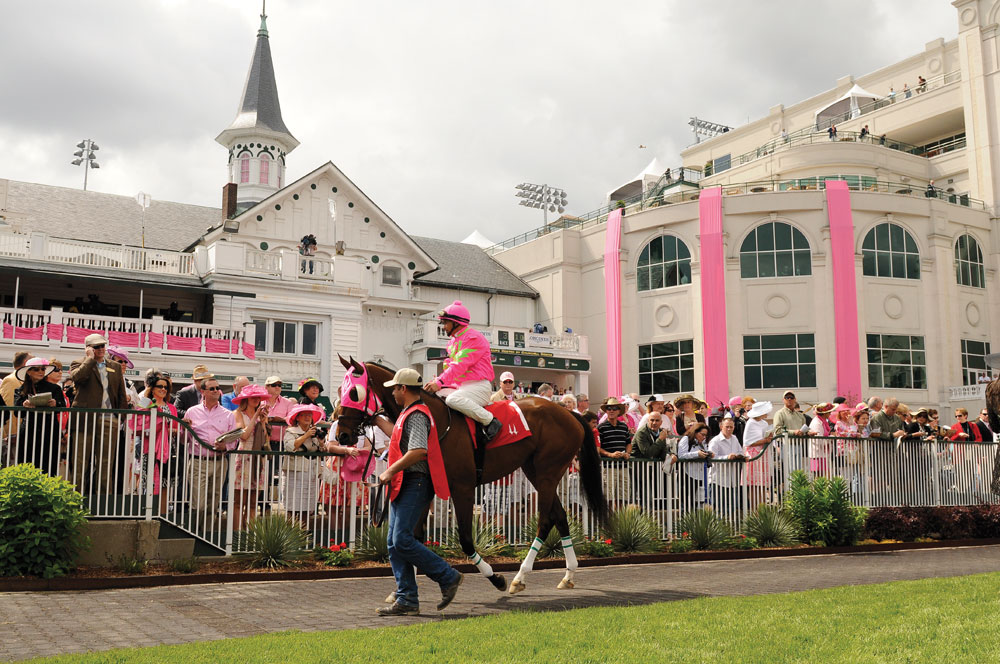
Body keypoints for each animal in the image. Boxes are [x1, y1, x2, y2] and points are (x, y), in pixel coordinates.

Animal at [334, 358, 608, 596]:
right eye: (340, 389)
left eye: (354, 393)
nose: (341, 435)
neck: (435, 422)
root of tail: (570, 414)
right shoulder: (429, 485)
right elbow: (413, 537)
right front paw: (403, 590)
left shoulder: (462, 488)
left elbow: (465, 539)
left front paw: (494, 577)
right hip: (536, 471)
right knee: (560, 517)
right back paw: (568, 575)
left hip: (547, 473)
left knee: (545, 520)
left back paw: (520, 577)